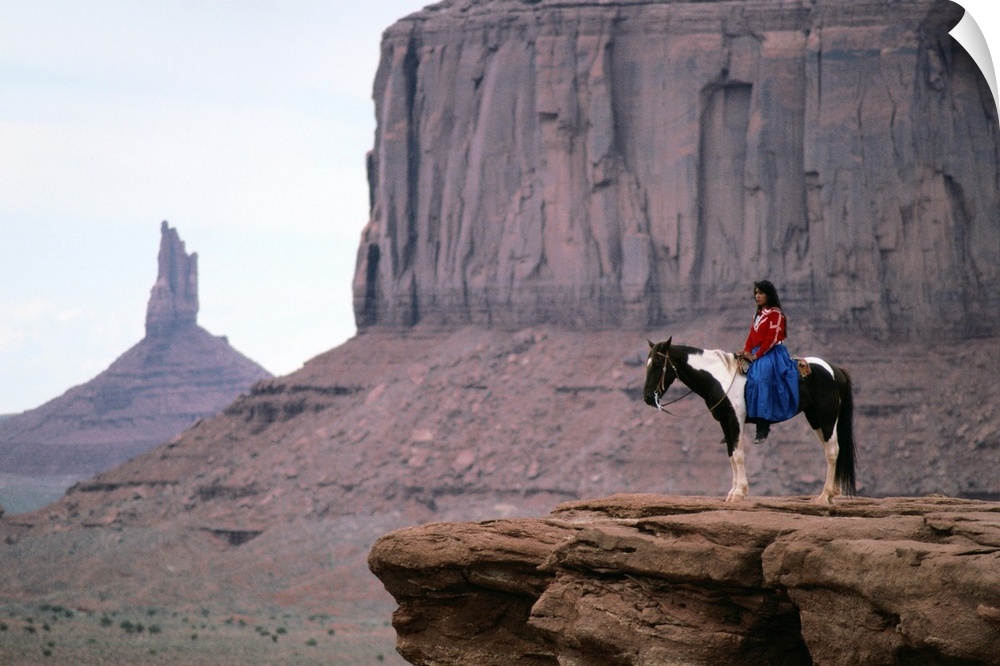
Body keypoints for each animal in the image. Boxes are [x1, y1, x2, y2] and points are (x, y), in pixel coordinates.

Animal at [644, 338, 856, 504]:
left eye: (657, 364)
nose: (647, 398)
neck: (721, 378)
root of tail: (836, 370)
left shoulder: (735, 420)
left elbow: (738, 455)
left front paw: (739, 493)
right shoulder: (724, 422)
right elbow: (731, 455)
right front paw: (732, 492)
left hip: (827, 416)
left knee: (832, 450)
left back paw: (824, 496)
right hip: (814, 418)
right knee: (830, 449)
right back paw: (832, 493)